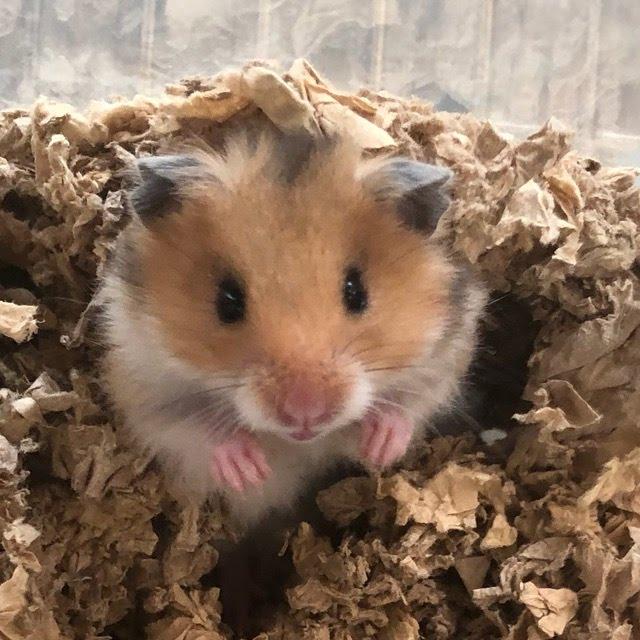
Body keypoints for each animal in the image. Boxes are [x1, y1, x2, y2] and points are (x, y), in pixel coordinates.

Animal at [101, 131, 487, 532]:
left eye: (356, 291)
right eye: (228, 300)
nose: (306, 415)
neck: (298, 442)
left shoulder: (445, 359)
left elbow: (408, 405)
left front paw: (381, 447)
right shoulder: (144, 389)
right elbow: (199, 429)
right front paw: (248, 471)